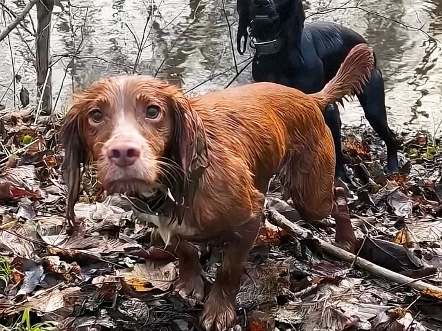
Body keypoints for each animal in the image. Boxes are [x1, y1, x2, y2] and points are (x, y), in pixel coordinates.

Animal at [61, 43, 372, 331]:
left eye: (153, 111)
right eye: (95, 115)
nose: (123, 152)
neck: (176, 184)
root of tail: (308, 97)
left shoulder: (249, 218)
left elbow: (229, 270)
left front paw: (219, 310)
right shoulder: (167, 224)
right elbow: (184, 249)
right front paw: (190, 283)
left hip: (309, 196)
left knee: (339, 194)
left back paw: (345, 238)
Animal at [237, 0, 398, 182]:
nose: (261, 2)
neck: (278, 55)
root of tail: (367, 46)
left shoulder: (325, 108)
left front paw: (339, 178)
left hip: (373, 109)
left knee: (392, 138)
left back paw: (394, 168)